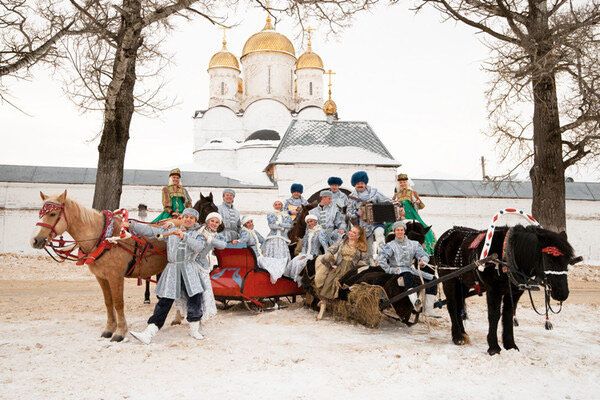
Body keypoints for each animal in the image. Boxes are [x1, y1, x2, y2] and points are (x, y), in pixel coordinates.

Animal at [30, 192, 166, 342]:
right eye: (40, 214)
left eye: (53, 214)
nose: (35, 240)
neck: (104, 238)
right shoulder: (101, 277)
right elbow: (108, 302)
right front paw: (109, 329)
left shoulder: (115, 276)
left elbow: (118, 303)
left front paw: (120, 332)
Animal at [436, 225, 576, 356]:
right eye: (549, 260)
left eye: (567, 261)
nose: (562, 293)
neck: (506, 256)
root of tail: (447, 234)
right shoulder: (494, 291)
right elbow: (494, 316)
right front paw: (493, 347)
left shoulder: (514, 293)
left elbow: (508, 316)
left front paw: (510, 345)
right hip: (448, 279)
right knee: (452, 306)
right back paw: (457, 336)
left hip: (463, 283)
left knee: (459, 305)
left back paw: (463, 333)